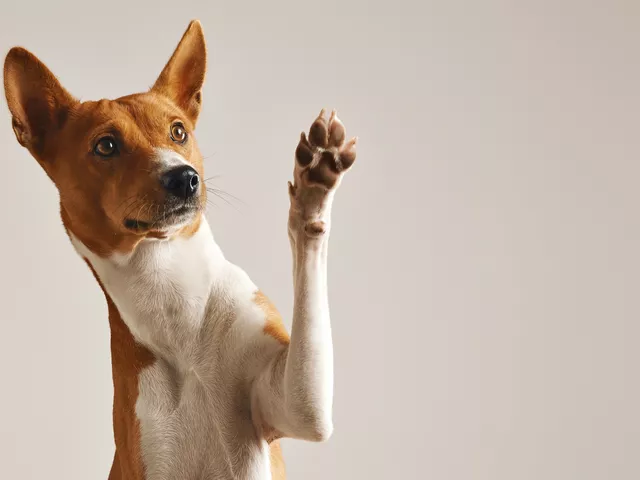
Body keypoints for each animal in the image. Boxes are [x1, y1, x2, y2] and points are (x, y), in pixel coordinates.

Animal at [2, 19, 358, 480]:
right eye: (106, 145)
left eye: (178, 131)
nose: (184, 177)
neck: (174, 304)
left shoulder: (296, 404)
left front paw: (316, 183)